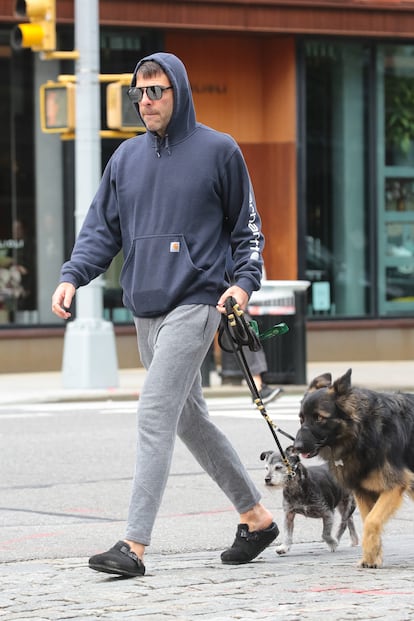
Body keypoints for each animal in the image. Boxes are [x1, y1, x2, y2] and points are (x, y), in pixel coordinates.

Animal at [292, 368, 414, 568]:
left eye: (319, 418)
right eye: (301, 419)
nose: (297, 447)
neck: (362, 433)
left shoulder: (393, 486)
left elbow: (372, 521)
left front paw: (370, 555)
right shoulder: (363, 491)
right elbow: (368, 520)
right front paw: (372, 556)